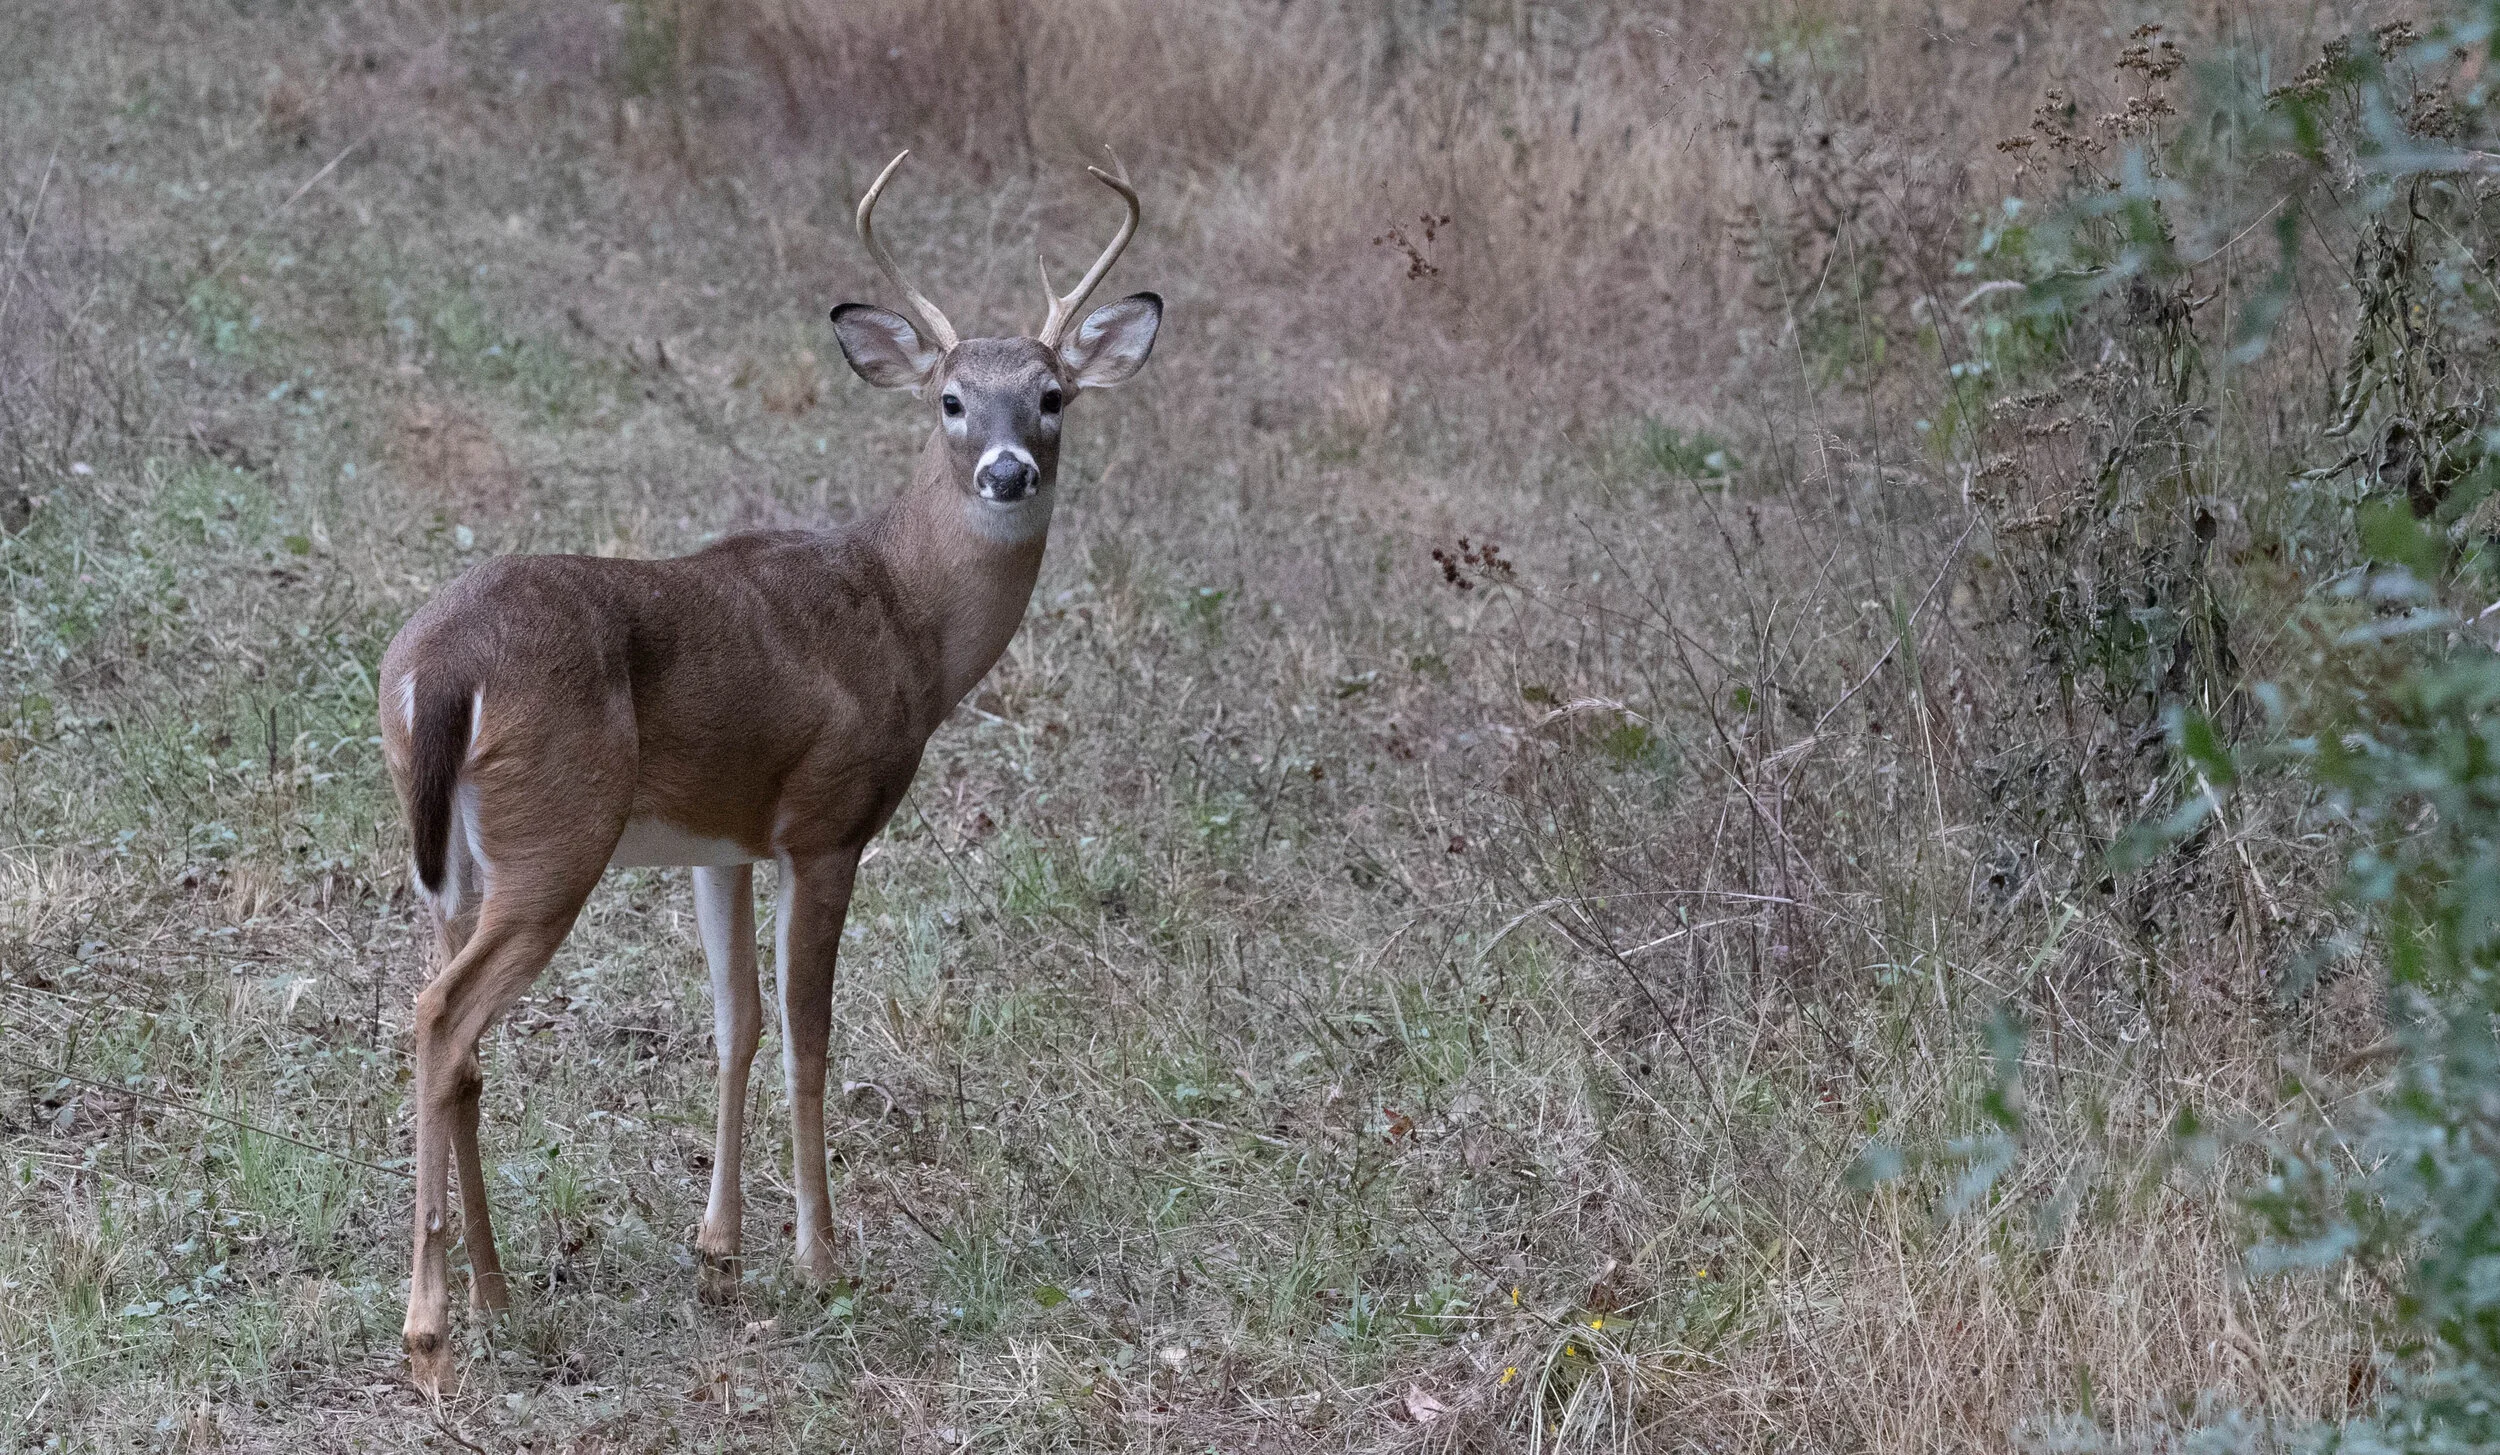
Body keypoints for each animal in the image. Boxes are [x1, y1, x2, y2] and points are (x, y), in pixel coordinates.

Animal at [375, 151, 1161, 1392]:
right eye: (949, 399)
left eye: (1053, 395)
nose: (1005, 471)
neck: (908, 620)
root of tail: (437, 670)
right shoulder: (827, 821)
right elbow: (806, 1034)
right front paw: (821, 1258)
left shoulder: (723, 839)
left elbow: (733, 1022)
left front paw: (719, 1252)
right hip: (557, 835)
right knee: (441, 1018)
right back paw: (430, 1324)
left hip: (452, 860)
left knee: (457, 1045)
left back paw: (496, 1292)